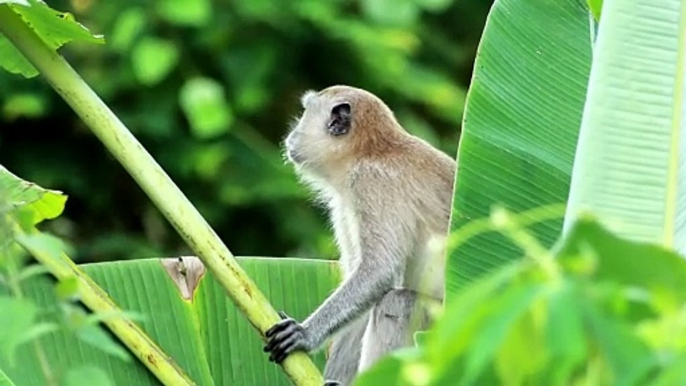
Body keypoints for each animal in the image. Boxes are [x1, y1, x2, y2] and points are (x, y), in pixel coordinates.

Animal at [264, 85, 456, 386]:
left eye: (305, 113)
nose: (292, 134)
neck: (370, 151)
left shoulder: (371, 183)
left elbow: (379, 272)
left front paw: (306, 334)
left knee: (396, 304)